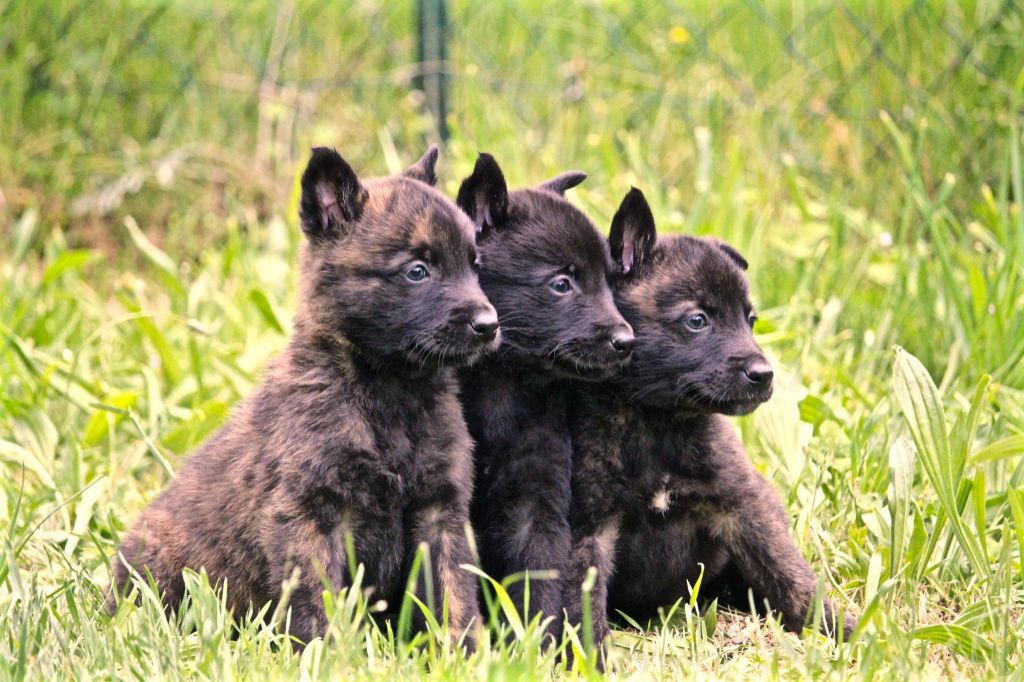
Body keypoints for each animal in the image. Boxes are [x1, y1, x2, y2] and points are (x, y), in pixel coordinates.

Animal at [108, 146, 499, 647]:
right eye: (418, 271)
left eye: (475, 266)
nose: (489, 325)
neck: (388, 394)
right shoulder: (308, 514)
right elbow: (317, 602)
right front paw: (328, 653)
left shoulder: (439, 513)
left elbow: (454, 595)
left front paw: (464, 651)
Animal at [454, 153, 630, 643]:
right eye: (561, 284)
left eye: (609, 283)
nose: (627, 342)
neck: (499, 384)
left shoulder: (536, 499)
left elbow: (539, 581)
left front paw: (536, 646)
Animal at [569, 186, 856, 655]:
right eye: (697, 321)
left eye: (750, 319)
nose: (764, 374)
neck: (659, 423)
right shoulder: (590, 527)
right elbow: (583, 599)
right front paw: (590, 656)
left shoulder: (744, 507)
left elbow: (790, 576)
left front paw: (841, 626)